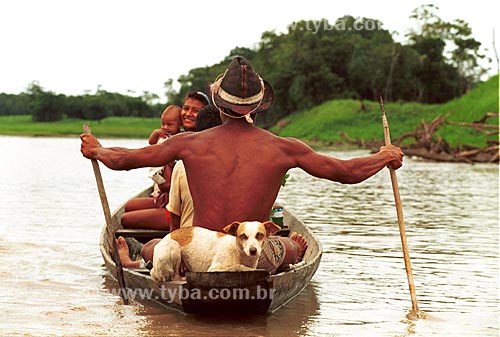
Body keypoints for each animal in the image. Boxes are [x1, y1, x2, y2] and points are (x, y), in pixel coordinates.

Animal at [148, 220, 282, 280]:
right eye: (243, 236)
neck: (239, 254)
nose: (253, 250)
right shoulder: (214, 269)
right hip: (173, 249)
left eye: (260, 235)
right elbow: (237, 267)